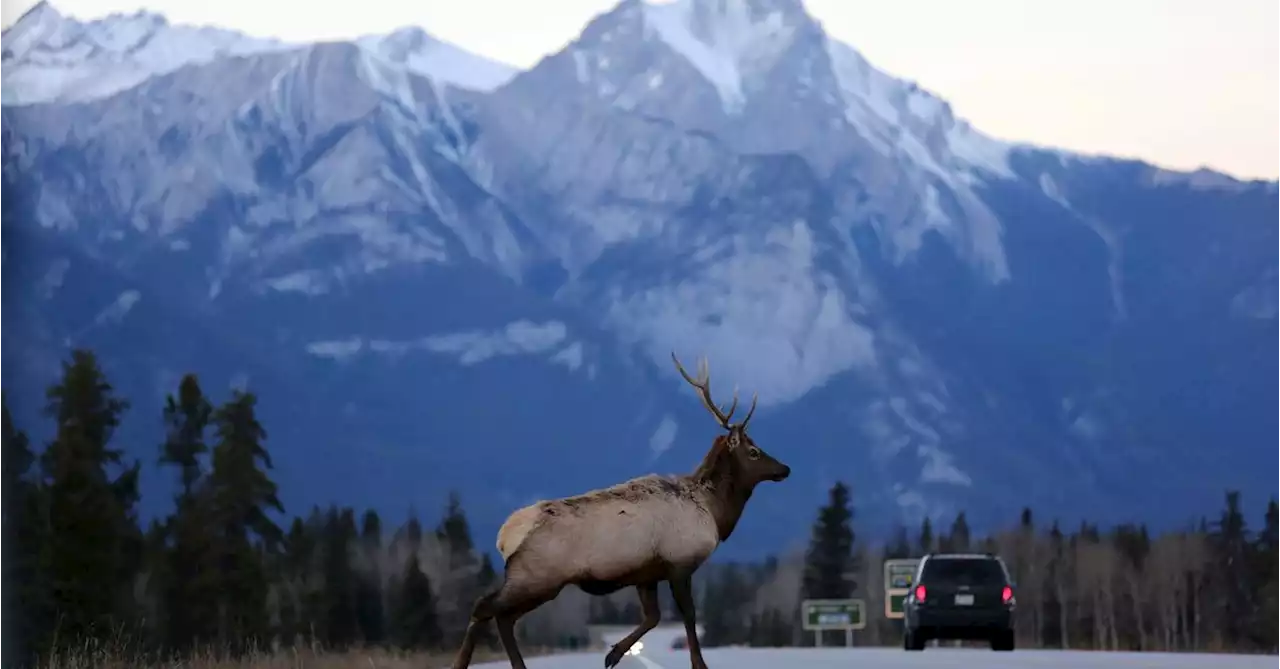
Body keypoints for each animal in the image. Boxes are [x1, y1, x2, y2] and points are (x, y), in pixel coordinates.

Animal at [450, 353, 788, 665]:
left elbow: (653, 616)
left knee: (503, 617)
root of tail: (505, 536)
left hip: (535, 581)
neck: (714, 513)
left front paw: (613, 654)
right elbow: (689, 616)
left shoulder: (646, 573)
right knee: (485, 607)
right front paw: (698, 664)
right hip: (537, 577)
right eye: (754, 451)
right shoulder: (680, 562)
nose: (785, 469)